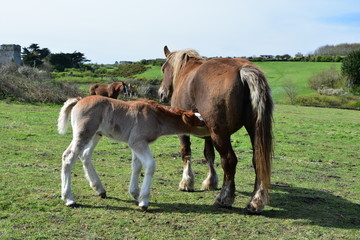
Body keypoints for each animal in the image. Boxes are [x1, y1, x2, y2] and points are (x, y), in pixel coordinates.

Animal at [57, 94, 208, 209]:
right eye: (202, 123)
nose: (212, 133)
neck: (156, 116)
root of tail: (79, 99)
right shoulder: (137, 142)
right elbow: (150, 165)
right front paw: (144, 201)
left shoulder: (137, 144)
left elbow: (136, 166)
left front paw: (135, 194)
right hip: (83, 134)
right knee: (68, 157)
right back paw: (69, 199)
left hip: (96, 134)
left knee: (85, 155)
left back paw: (100, 189)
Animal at [158, 46, 272, 214]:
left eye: (163, 68)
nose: (161, 93)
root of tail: (242, 69)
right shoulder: (207, 133)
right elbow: (209, 155)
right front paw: (210, 182)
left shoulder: (184, 132)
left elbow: (186, 153)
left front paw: (186, 182)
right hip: (252, 130)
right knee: (257, 160)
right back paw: (255, 201)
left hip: (219, 134)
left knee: (229, 160)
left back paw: (224, 198)